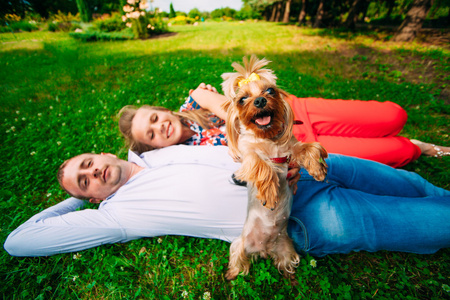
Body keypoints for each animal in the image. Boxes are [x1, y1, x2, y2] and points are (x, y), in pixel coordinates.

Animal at [221, 55, 326, 280]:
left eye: (270, 91)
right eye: (242, 99)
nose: (260, 101)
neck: (268, 138)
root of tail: (264, 248)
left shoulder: (290, 149)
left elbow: (309, 147)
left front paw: (318, 169)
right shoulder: (248, 156)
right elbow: (262, 165)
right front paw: (269, 193)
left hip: (286, 249)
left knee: (286, 261)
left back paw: (289, 275)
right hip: (240, 243)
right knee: (238, 257)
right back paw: (232, 274)